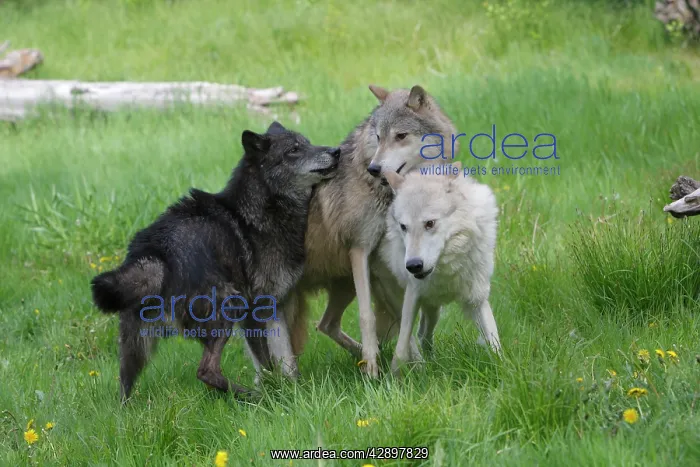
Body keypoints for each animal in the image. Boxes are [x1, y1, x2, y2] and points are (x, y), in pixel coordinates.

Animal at [90, 122, 340, 401]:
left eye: (307, 143)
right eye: (294, 150)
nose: (336, 151)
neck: (261, 209)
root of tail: (156, 249)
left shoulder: (274, 307)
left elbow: (286, 357)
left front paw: (294, 390)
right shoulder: (253, 310)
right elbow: (266, 363)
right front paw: (274, 392)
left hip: (135, 345)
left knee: (123, 385)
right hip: (229, 306)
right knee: (206, 370)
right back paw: (250, 396)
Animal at [264, 84, 458, 378]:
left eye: (400, 136)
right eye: (378, 137)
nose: (374, 168)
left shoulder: (384, 267)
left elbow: (407, 317)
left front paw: (414, 367)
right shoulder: (361, 251)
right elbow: (369, 316)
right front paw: (376, 370)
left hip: (344, 286)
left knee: (326, 324)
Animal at [380, 163, 502, 373]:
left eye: (430, 223)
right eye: (403, 227)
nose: (413, 266)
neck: (445, 268)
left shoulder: (477, 297)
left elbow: (494, 341)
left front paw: (503, 368)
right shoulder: (412, 294)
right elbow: (401, 348)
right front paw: (394, 377)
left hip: (433, 309)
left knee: (423, 335)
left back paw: (431, 365)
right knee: (415, 337)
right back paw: (423, 367)